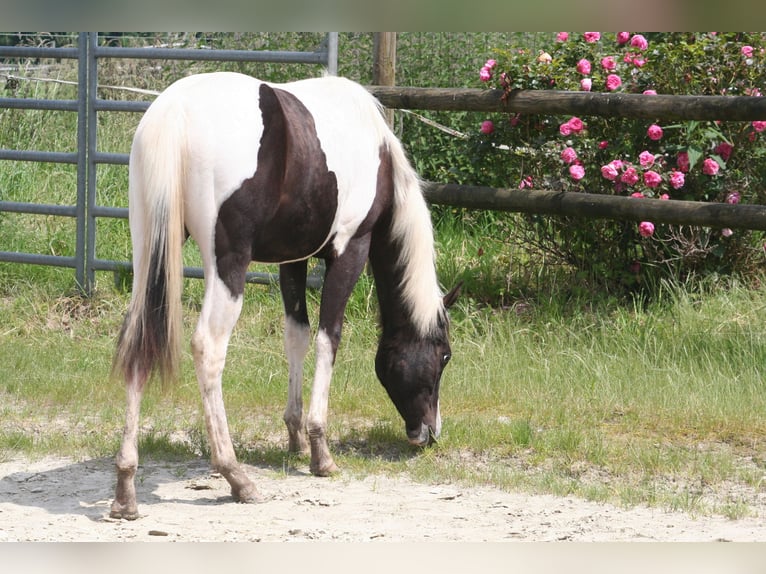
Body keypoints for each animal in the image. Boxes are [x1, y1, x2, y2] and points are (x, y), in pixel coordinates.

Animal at [109, 71, 459, 520]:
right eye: (444, 356)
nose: (429, 433)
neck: (379, 149)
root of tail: (175, 110)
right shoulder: (351, 249)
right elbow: (329, 337)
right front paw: (320, 450)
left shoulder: (293, 259)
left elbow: (297, 335)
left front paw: (295, 436)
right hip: (228, 266)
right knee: (208, 347)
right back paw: (236, 476)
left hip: (147, 255)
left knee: (137, 343)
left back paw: (126, 487)